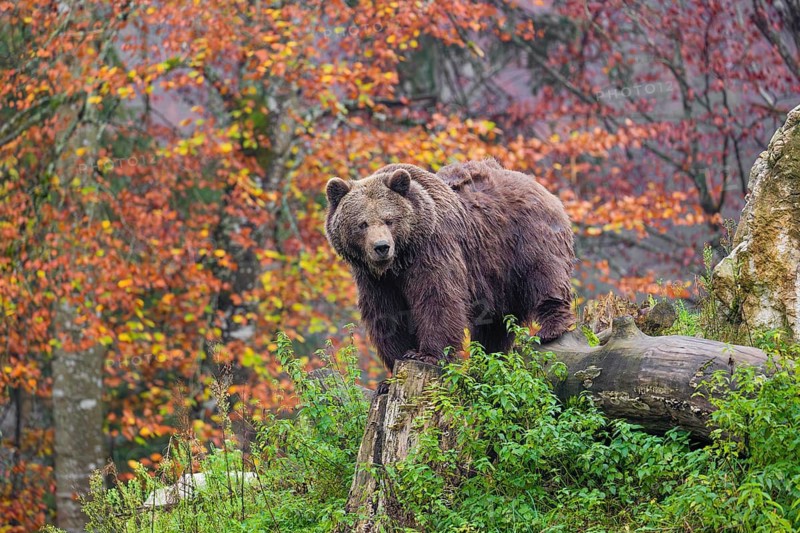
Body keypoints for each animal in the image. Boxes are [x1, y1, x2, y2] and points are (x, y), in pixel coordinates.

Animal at [325, 158, 575, 376]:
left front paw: (427, 355)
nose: (381, 247)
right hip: (496, 277)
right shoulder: (374, 279)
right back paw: (486, 359)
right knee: (494, 323)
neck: (401, 259)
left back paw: (550, 329)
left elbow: (437, 298)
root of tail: (537, 184)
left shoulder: (433, 250)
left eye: (389, 219)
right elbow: (387, 314)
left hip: (525, 240)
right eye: (362, 224)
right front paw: (393, 367)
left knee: (545, 276)